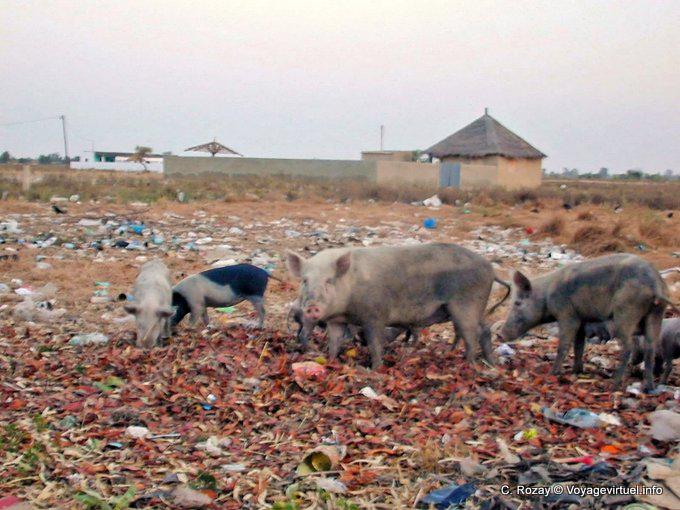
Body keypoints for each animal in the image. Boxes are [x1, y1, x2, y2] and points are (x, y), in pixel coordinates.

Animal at [286, 243, 510, 369]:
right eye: (305, 280)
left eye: (329, 281)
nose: (311, 307)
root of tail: (490, 268)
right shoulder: (336, 321)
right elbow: (334, 341)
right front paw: (330, 361)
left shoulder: (375, 315)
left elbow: (375, 343)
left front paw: (373, 369)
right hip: (477, 308)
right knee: (485, 331)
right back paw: (490, 364)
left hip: (466, 305)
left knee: (471, 335)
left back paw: (467, 365)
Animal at [500, 253, 676, 392]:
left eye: (517, 303)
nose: (500, 334)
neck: (547, 296)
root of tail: (655, 285)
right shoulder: (582, 319)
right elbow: (579, 346)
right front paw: (577, 371)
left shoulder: (567, 315)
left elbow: (564, 345)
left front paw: (553, 373)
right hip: (656, 314)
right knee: (651, 348)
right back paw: (649, 387)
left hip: (626, 311)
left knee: (628, 347)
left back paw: (613, 386)